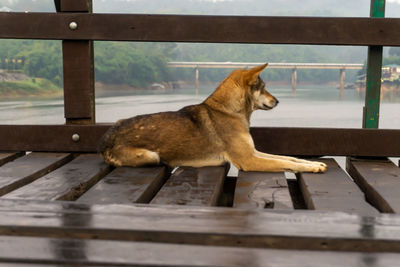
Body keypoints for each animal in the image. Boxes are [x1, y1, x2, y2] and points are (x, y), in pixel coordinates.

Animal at [98, 64, 326, 174]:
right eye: (262, 87)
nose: (277, 101)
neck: (228, 111)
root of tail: (106, 140)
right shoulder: (248, 160)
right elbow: (284, 162)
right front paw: (312, 167)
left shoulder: (253, 152)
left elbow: (289, 158)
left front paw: (312, 163)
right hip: (151, 156)